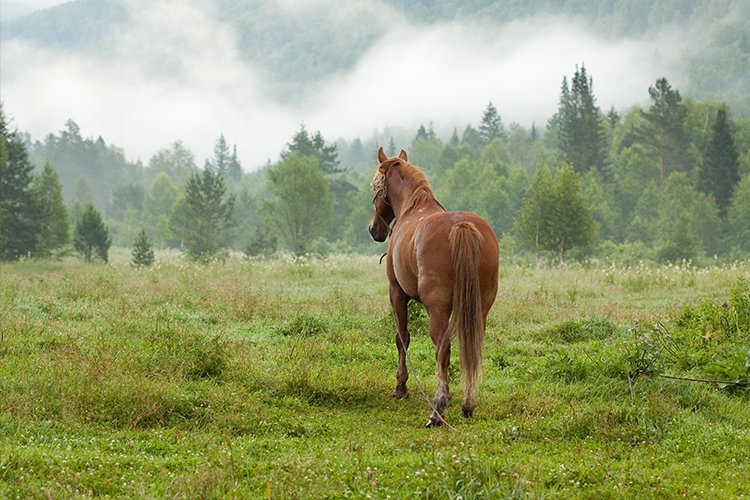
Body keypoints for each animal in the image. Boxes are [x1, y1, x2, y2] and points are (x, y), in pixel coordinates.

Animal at [370, 146, 500, 428]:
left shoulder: (396, 294)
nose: (374, 229)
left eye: (375, 186)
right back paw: (467, 403)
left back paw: (438, 409)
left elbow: (402, 338)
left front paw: (401, 387)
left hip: (438, 310)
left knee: (443, 348)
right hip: (480, 308)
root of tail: (461, 226)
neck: (413, 208)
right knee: (471, 347)